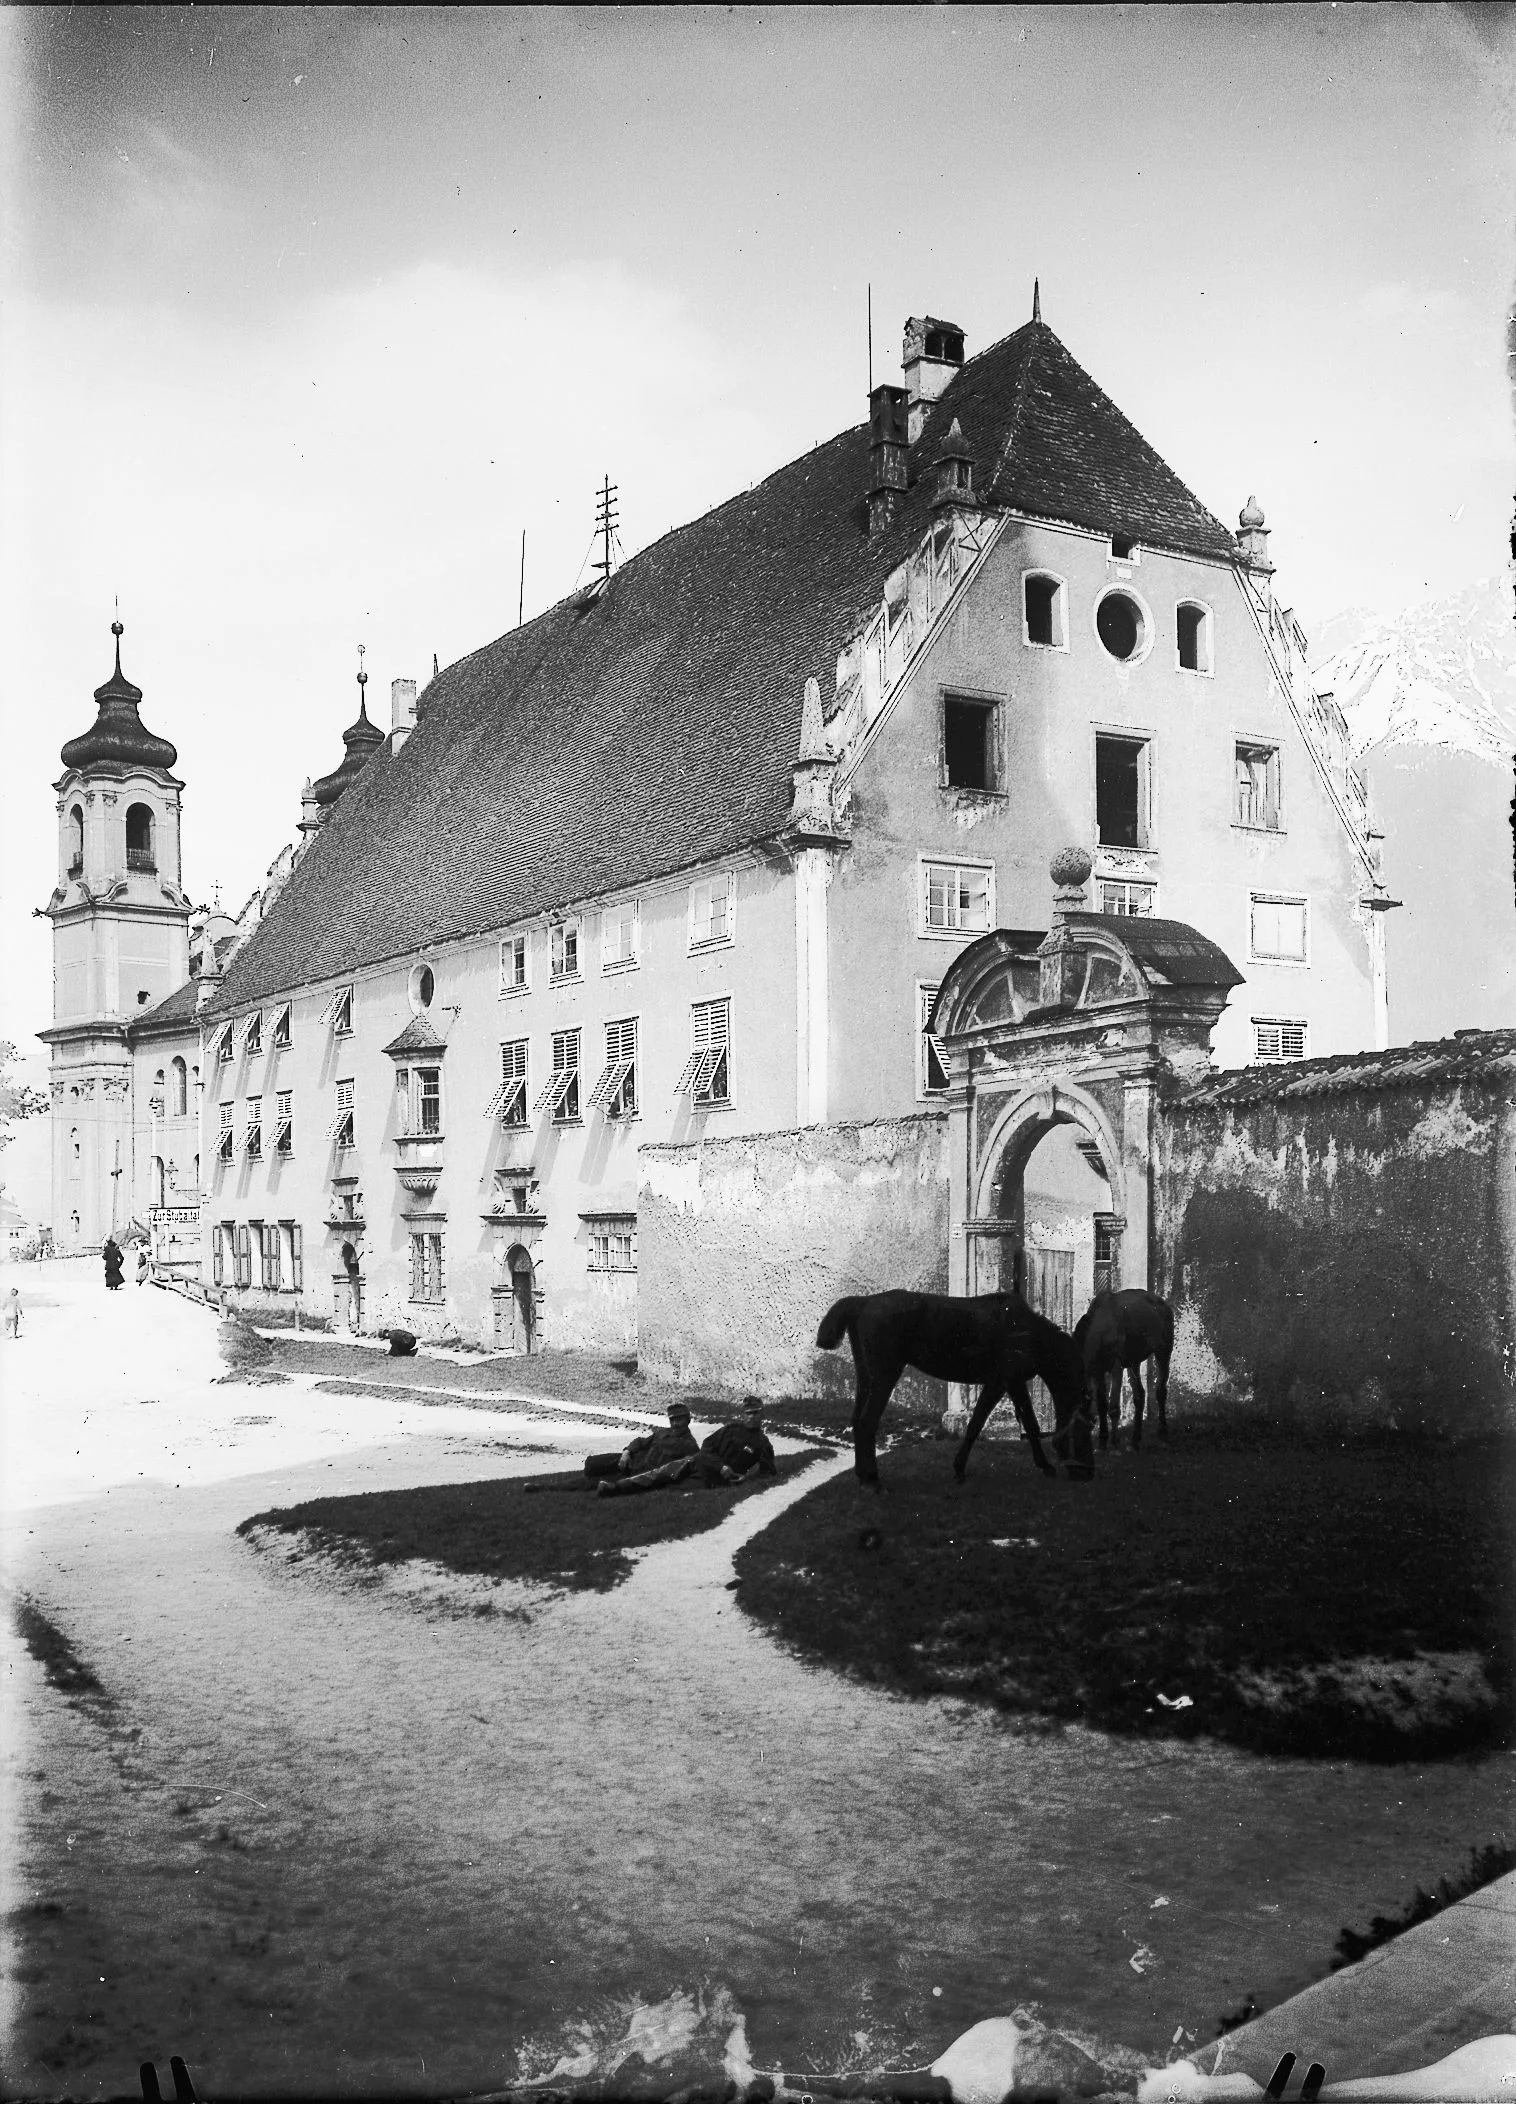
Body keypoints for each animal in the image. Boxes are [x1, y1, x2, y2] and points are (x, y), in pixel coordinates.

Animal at [811, 1287, 1093, 1489]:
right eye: (1085, 1430)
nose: (1086, 1473)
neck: (1027, 1332)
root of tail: (863, 1302)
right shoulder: (1001, 1382)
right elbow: (979, 1424)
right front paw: (960, 1469)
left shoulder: (1011, 1383)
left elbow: (1026, 1425)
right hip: (883, 1376)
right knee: (867, 1422)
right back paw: (872, 1480)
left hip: (866, 1377)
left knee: (858, 1421)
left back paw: (863, 1476)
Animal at [1072, 1279, 1177, 1447]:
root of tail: (1163, 1303)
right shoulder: (1097, 1370)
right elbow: (1102, 1403)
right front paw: (1103, 1439)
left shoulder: (1116, 1366)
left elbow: (1114, 1406)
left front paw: (1114, 1442)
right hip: (1134, 1362)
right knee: (1140, 1394)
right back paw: (1135, 1438)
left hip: (1164, 1352)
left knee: (1161, 1390)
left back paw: (1162, 1430)